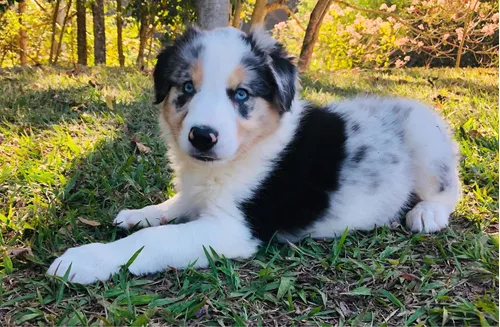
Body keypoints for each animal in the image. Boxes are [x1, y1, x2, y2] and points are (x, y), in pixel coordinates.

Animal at [47, 26, 460, 284]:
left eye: (242, 94)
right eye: (186, 87)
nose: (202, 137)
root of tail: (414, 105)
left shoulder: (233, 228)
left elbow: (153, 242)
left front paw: (86, 259)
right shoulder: (199, 193)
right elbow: (173, 204)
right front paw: (139, 213)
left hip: (426, 141)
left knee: (448, 190)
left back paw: (426, 213)